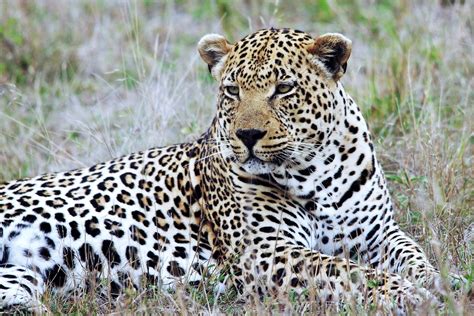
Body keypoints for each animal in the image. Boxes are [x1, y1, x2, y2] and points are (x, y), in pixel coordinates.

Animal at [0, 27, 460, 314]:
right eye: (232, 90)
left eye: (284, 89)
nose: (248, 135)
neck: (317, 171)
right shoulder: (264, 250)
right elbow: (346, 271)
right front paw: (410, 294)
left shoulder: (379, 233)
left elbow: (413, 254)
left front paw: (441, 283)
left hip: (18, 278)